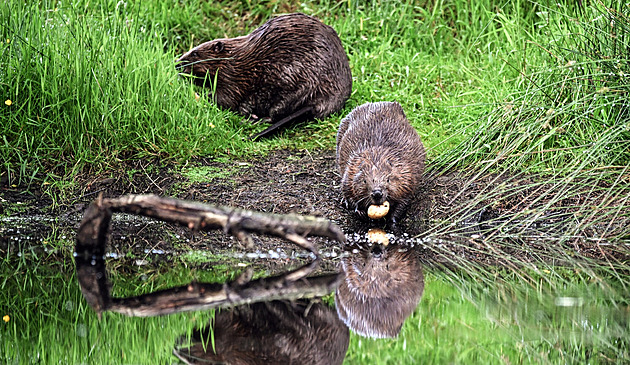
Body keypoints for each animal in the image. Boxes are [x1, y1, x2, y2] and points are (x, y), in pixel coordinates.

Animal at [178, 12, 354, 139]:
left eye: (194, 53)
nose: (177, 64)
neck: (234, 59)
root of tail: (323, 102)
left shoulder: (233, 78)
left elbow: (226, 98)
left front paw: (202, 97)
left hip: (293, 83)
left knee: (276, 112)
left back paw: (254, 119)